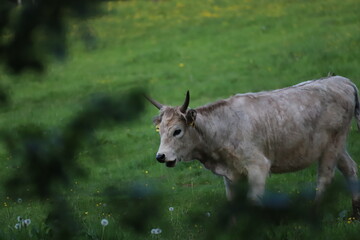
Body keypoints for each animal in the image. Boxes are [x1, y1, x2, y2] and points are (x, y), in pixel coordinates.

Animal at [146, 76, 360, 218]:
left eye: (177, 131)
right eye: (160, 131)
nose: (160, 156)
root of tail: (341, 80)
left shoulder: (258, 167)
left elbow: (253, 202)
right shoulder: (230, 175)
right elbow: (232, 203)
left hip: (333, 145)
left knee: (324, 178)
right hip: (336, 146)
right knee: (350, 168)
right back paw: (355, 212)